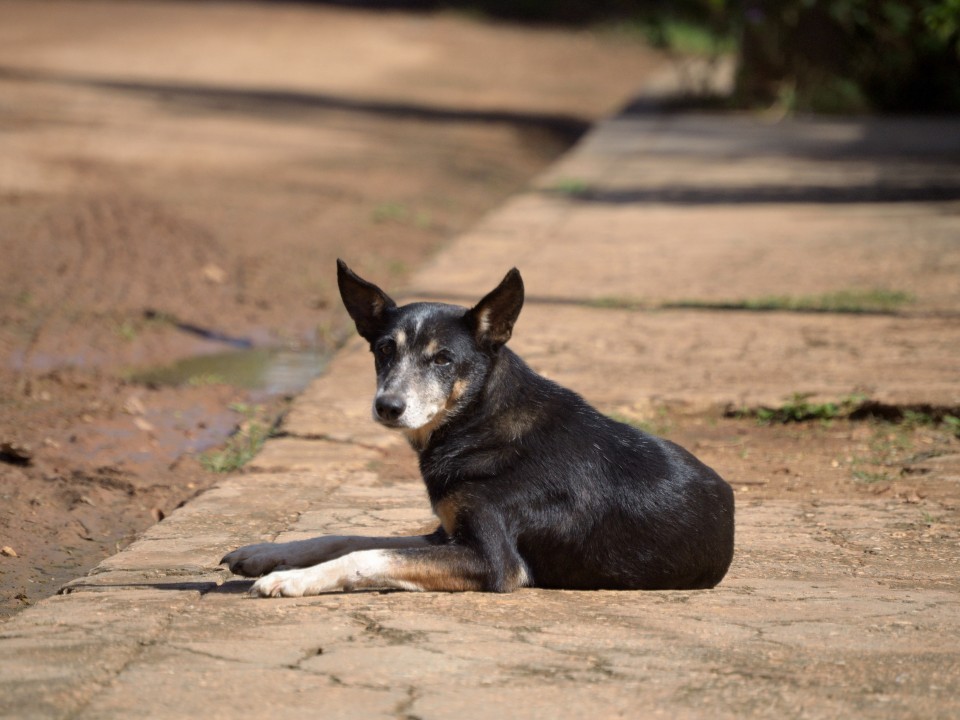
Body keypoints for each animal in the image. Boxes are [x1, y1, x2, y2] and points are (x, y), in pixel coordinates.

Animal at [223, 258, 736, 596]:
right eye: (384, 350)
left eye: (443, 359)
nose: (387, 407)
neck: (478, 421)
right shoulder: (445, 533)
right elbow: (347, 538)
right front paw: (264, 554)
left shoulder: (493, 561)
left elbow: (366, 556)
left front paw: (291, 578)